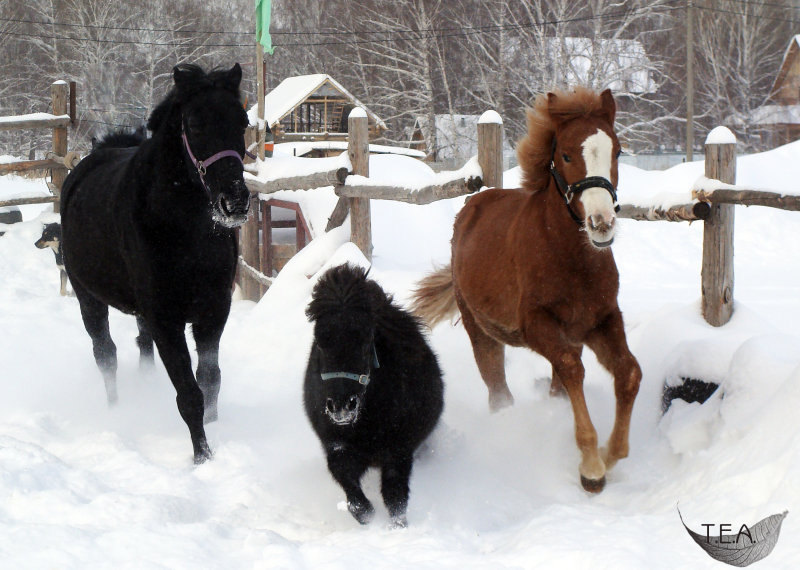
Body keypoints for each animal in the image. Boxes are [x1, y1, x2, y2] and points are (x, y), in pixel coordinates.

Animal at [61, 62, 250, 462]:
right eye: (194, 123)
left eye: (242, 121)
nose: (235, 202)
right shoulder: (167, 319)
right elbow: (189, 394)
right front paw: (202, 458)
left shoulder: (213, 311)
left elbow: (210, 380)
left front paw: (213, 432)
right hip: (89, 299)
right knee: (106, 355)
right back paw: (116, 410)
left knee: (140, 346)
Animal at [304, 264, 446, 524]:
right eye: (319, 343)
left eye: (366, 340)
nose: (341, 407)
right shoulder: (337, 445)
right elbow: (351, 489)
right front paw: (366, 515)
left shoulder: (399, 450)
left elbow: (395, 497)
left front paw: (399, 526)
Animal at [416, 86, 640, 490]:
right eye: (565, 154)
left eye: (616, 150)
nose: (601, 224)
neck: (574, 261)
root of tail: (473, 205)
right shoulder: (536, 325)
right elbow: (572, 369)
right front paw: (591, 465)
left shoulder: (601, 320)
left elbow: (628, 373)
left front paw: (611, 454)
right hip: (481, 333)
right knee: (499, 392)